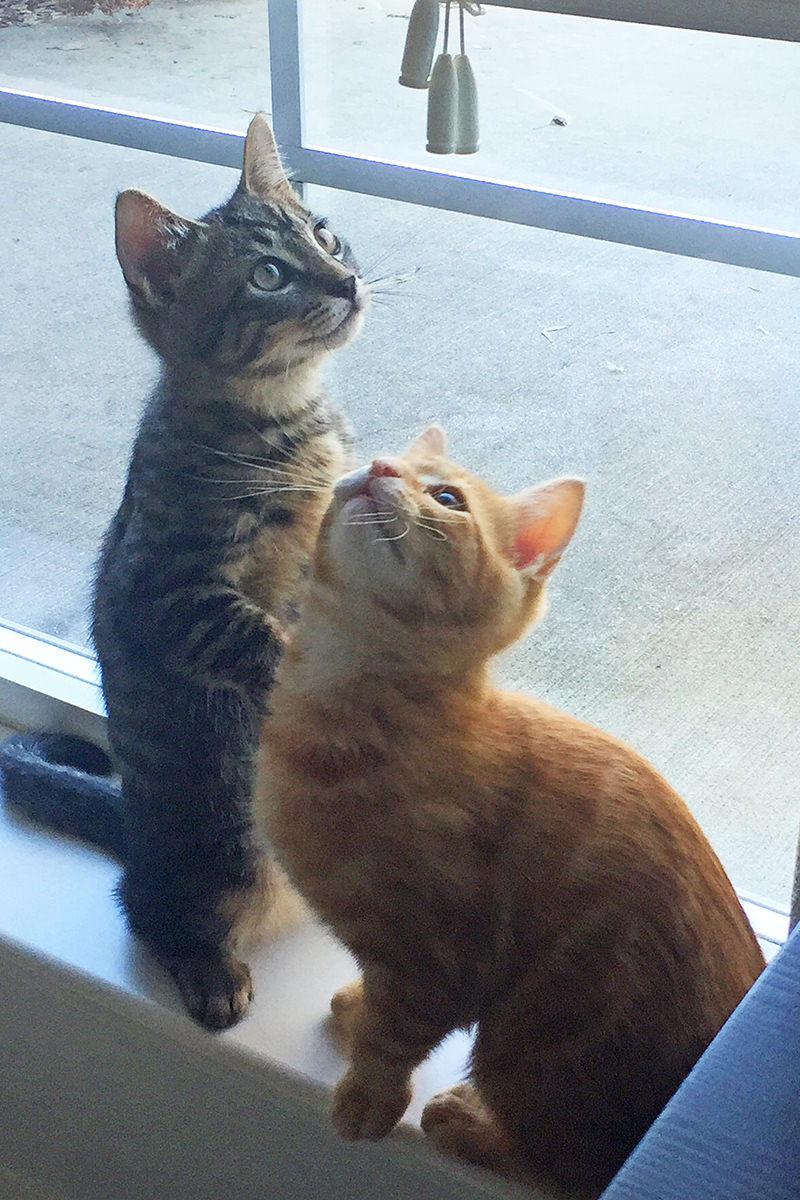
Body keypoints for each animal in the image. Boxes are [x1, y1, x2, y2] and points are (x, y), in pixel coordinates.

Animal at [94, 117, 367, 1027]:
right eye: (268, 275)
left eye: (325, 234)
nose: (349, 281)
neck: (287, 420)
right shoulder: (165, 589)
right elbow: (263, 638)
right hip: (210, 851)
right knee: (148, 910)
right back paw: (207, 967)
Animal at [260, 432, 767, 1200]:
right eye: (389, 456)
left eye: (446, 497)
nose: (378, 468)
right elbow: (378, 1006)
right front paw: (357, 1007)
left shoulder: (436, 957)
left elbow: (394, 1035)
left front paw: (368, 1096)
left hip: (533, 1047)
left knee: (567, 1169)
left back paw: (469, 1123)